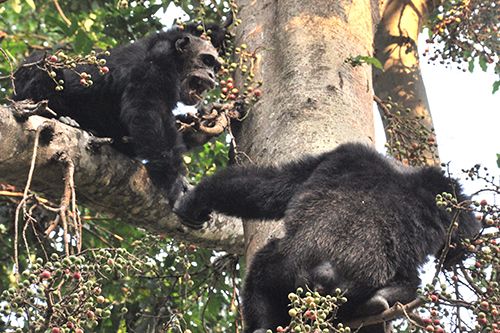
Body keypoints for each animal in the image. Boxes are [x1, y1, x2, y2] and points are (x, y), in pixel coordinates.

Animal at [12, 26, 221, 202]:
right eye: (207, 60)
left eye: (215, 66)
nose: (212, 75)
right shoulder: (159, 61)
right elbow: (147, 111)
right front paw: (174, 182)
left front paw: (200, 128)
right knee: (44, 65)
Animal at [173, 143, 480, 332]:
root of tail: (325, 273)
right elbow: (267, 186)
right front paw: (196, 201)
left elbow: (269, 186)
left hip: (287, 272)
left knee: (261, 271)